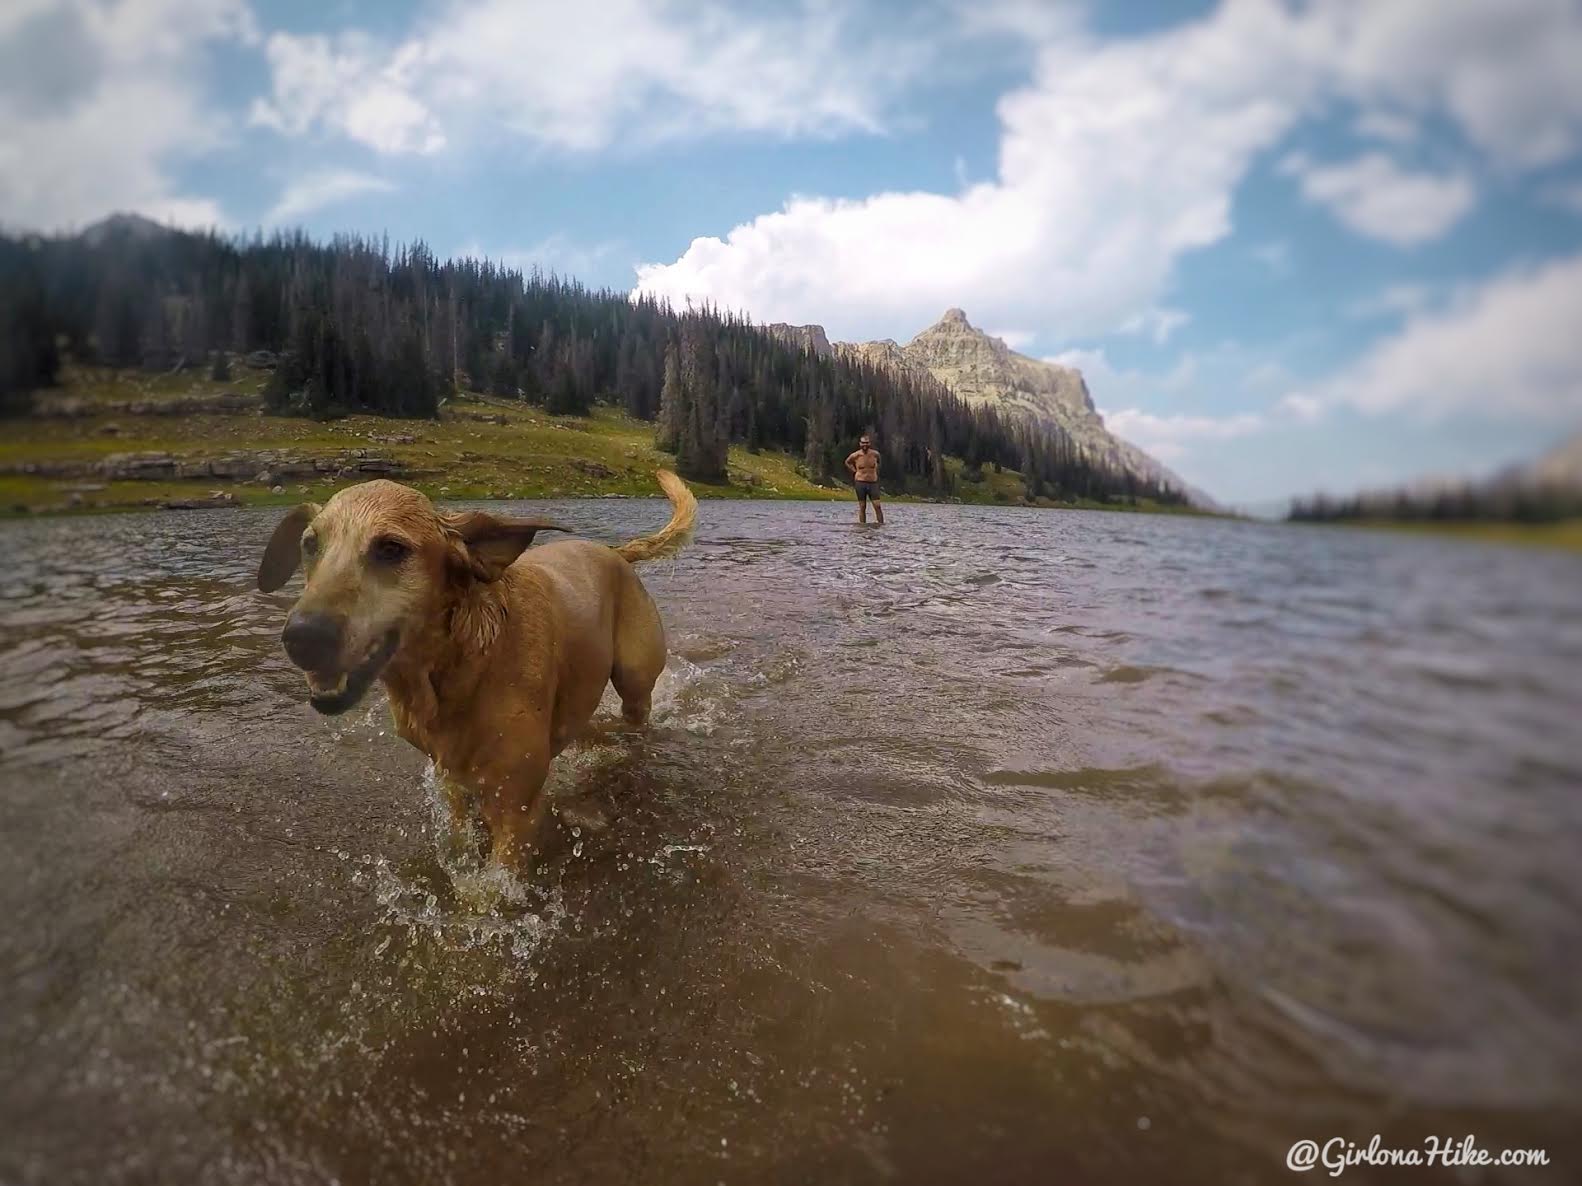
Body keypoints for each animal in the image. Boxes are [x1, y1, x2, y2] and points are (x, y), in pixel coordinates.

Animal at [257, 474, 692, 872]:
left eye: (391, 548)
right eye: (310, 544)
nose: (302, 637)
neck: (461, 669)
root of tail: (615, 552)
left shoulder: (516, 809)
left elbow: (488, 894)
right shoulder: (453, 782)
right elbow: (459, 839)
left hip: (635, 681)